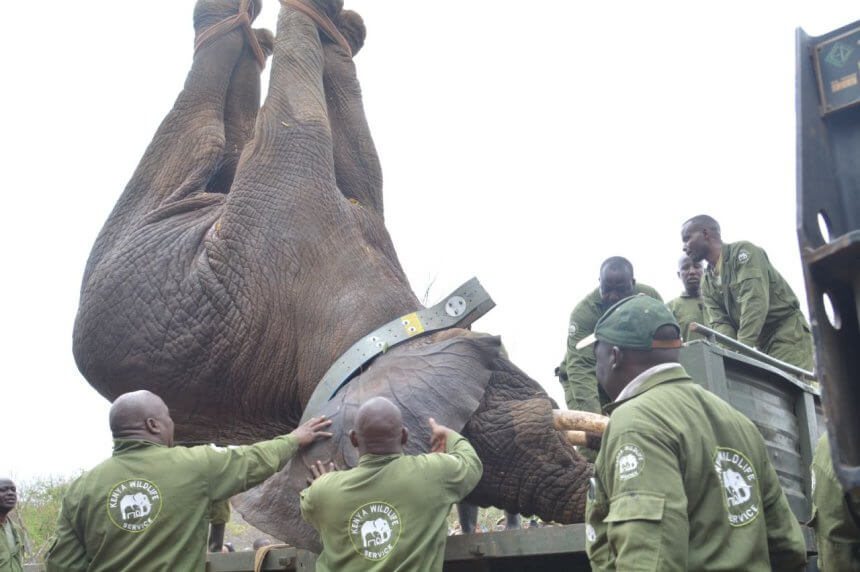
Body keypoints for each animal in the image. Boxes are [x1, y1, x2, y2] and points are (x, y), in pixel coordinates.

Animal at [74, 0, 596, 548]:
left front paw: (344, 33)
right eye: (537, 422)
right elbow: (303, 121)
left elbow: (358, 151)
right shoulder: (289, 210)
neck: (383, 334)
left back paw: (273, 34)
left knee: (227, 133)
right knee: (201, 128)